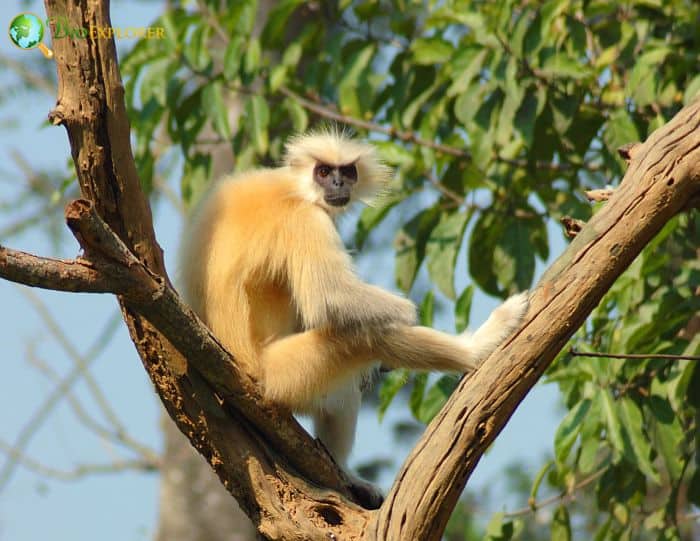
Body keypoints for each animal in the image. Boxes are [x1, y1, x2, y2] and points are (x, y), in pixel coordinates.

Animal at [178, 129, 528, 496]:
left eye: (346, 172)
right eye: (322, 171)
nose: (336, 183)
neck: (293, 186)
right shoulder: (305, 219)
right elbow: (329, 298)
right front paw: (408, 313)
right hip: (281, 377)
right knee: (365, 335)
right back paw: (479, 345)